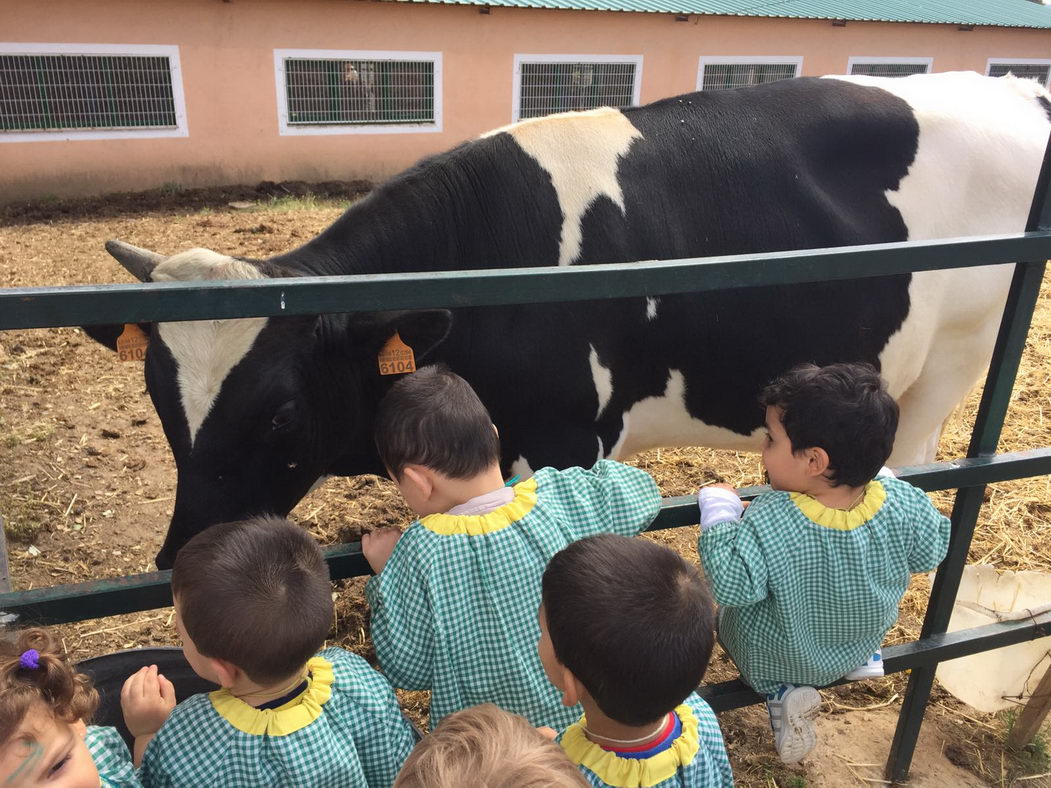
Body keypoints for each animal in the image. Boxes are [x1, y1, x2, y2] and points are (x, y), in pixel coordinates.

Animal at [84, 72, 1051, 567]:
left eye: (281, 412)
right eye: (158, 398)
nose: (181, 561)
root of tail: (1005, 87)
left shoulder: (561, 441)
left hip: (954, 354)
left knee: (917, 464)